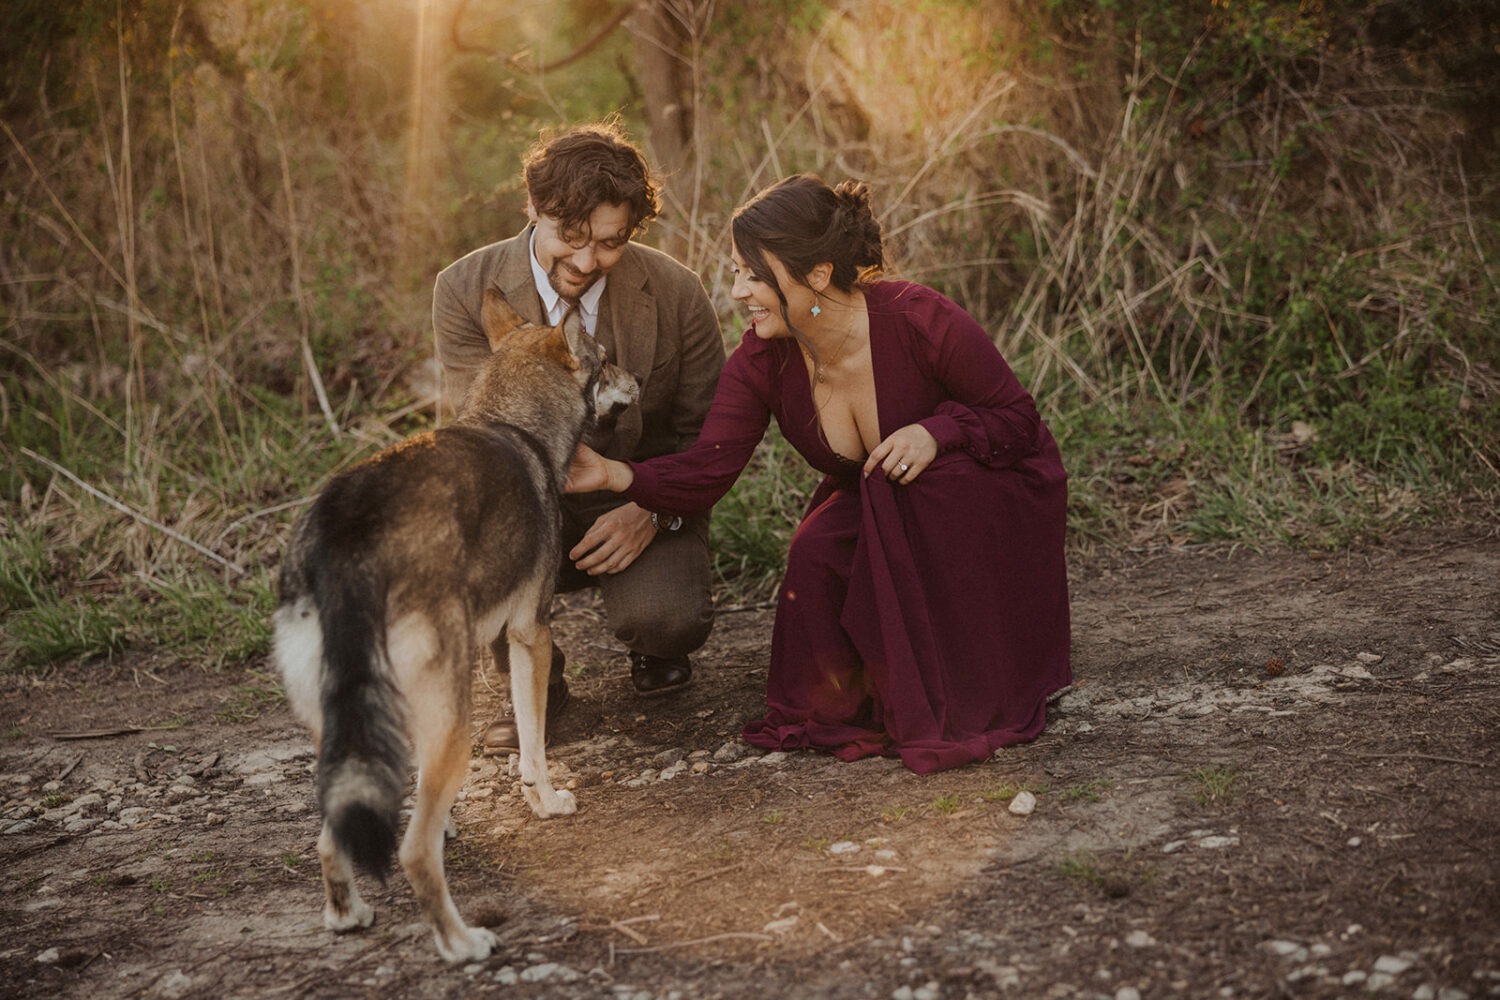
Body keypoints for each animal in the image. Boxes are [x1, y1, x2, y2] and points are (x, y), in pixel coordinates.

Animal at [273, 289, 636, 959]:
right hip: (451, 720)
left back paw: (347, 914)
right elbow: (533, 749)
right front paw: (548, 804)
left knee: (331, 837)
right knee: (413, 852)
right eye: (608, 359)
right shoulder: (530, 635)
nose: (641, 380)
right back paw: (461, 943)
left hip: (343, 735)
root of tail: (345, 537)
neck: (518, 425)